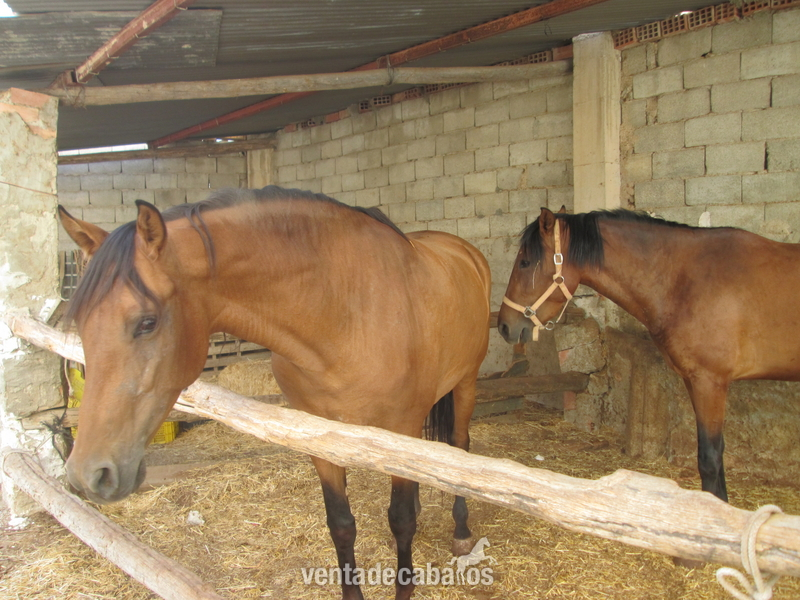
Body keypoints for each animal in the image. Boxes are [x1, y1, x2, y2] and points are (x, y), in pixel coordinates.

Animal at [58, 186, 491, 600]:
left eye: (146, 322)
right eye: (80, 321)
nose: (88, 474)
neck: (347, 313)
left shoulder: (401, 424)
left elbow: (401, 520)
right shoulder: (321, 438)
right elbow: (341, 524)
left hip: (465, 384)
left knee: (460, 445)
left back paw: (461, 530)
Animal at [497, 206, 800, 503]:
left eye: (525, 263)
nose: (503, 325)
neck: (688, 280)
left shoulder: (710, 382)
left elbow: (710, 459)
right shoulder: (694, 381)